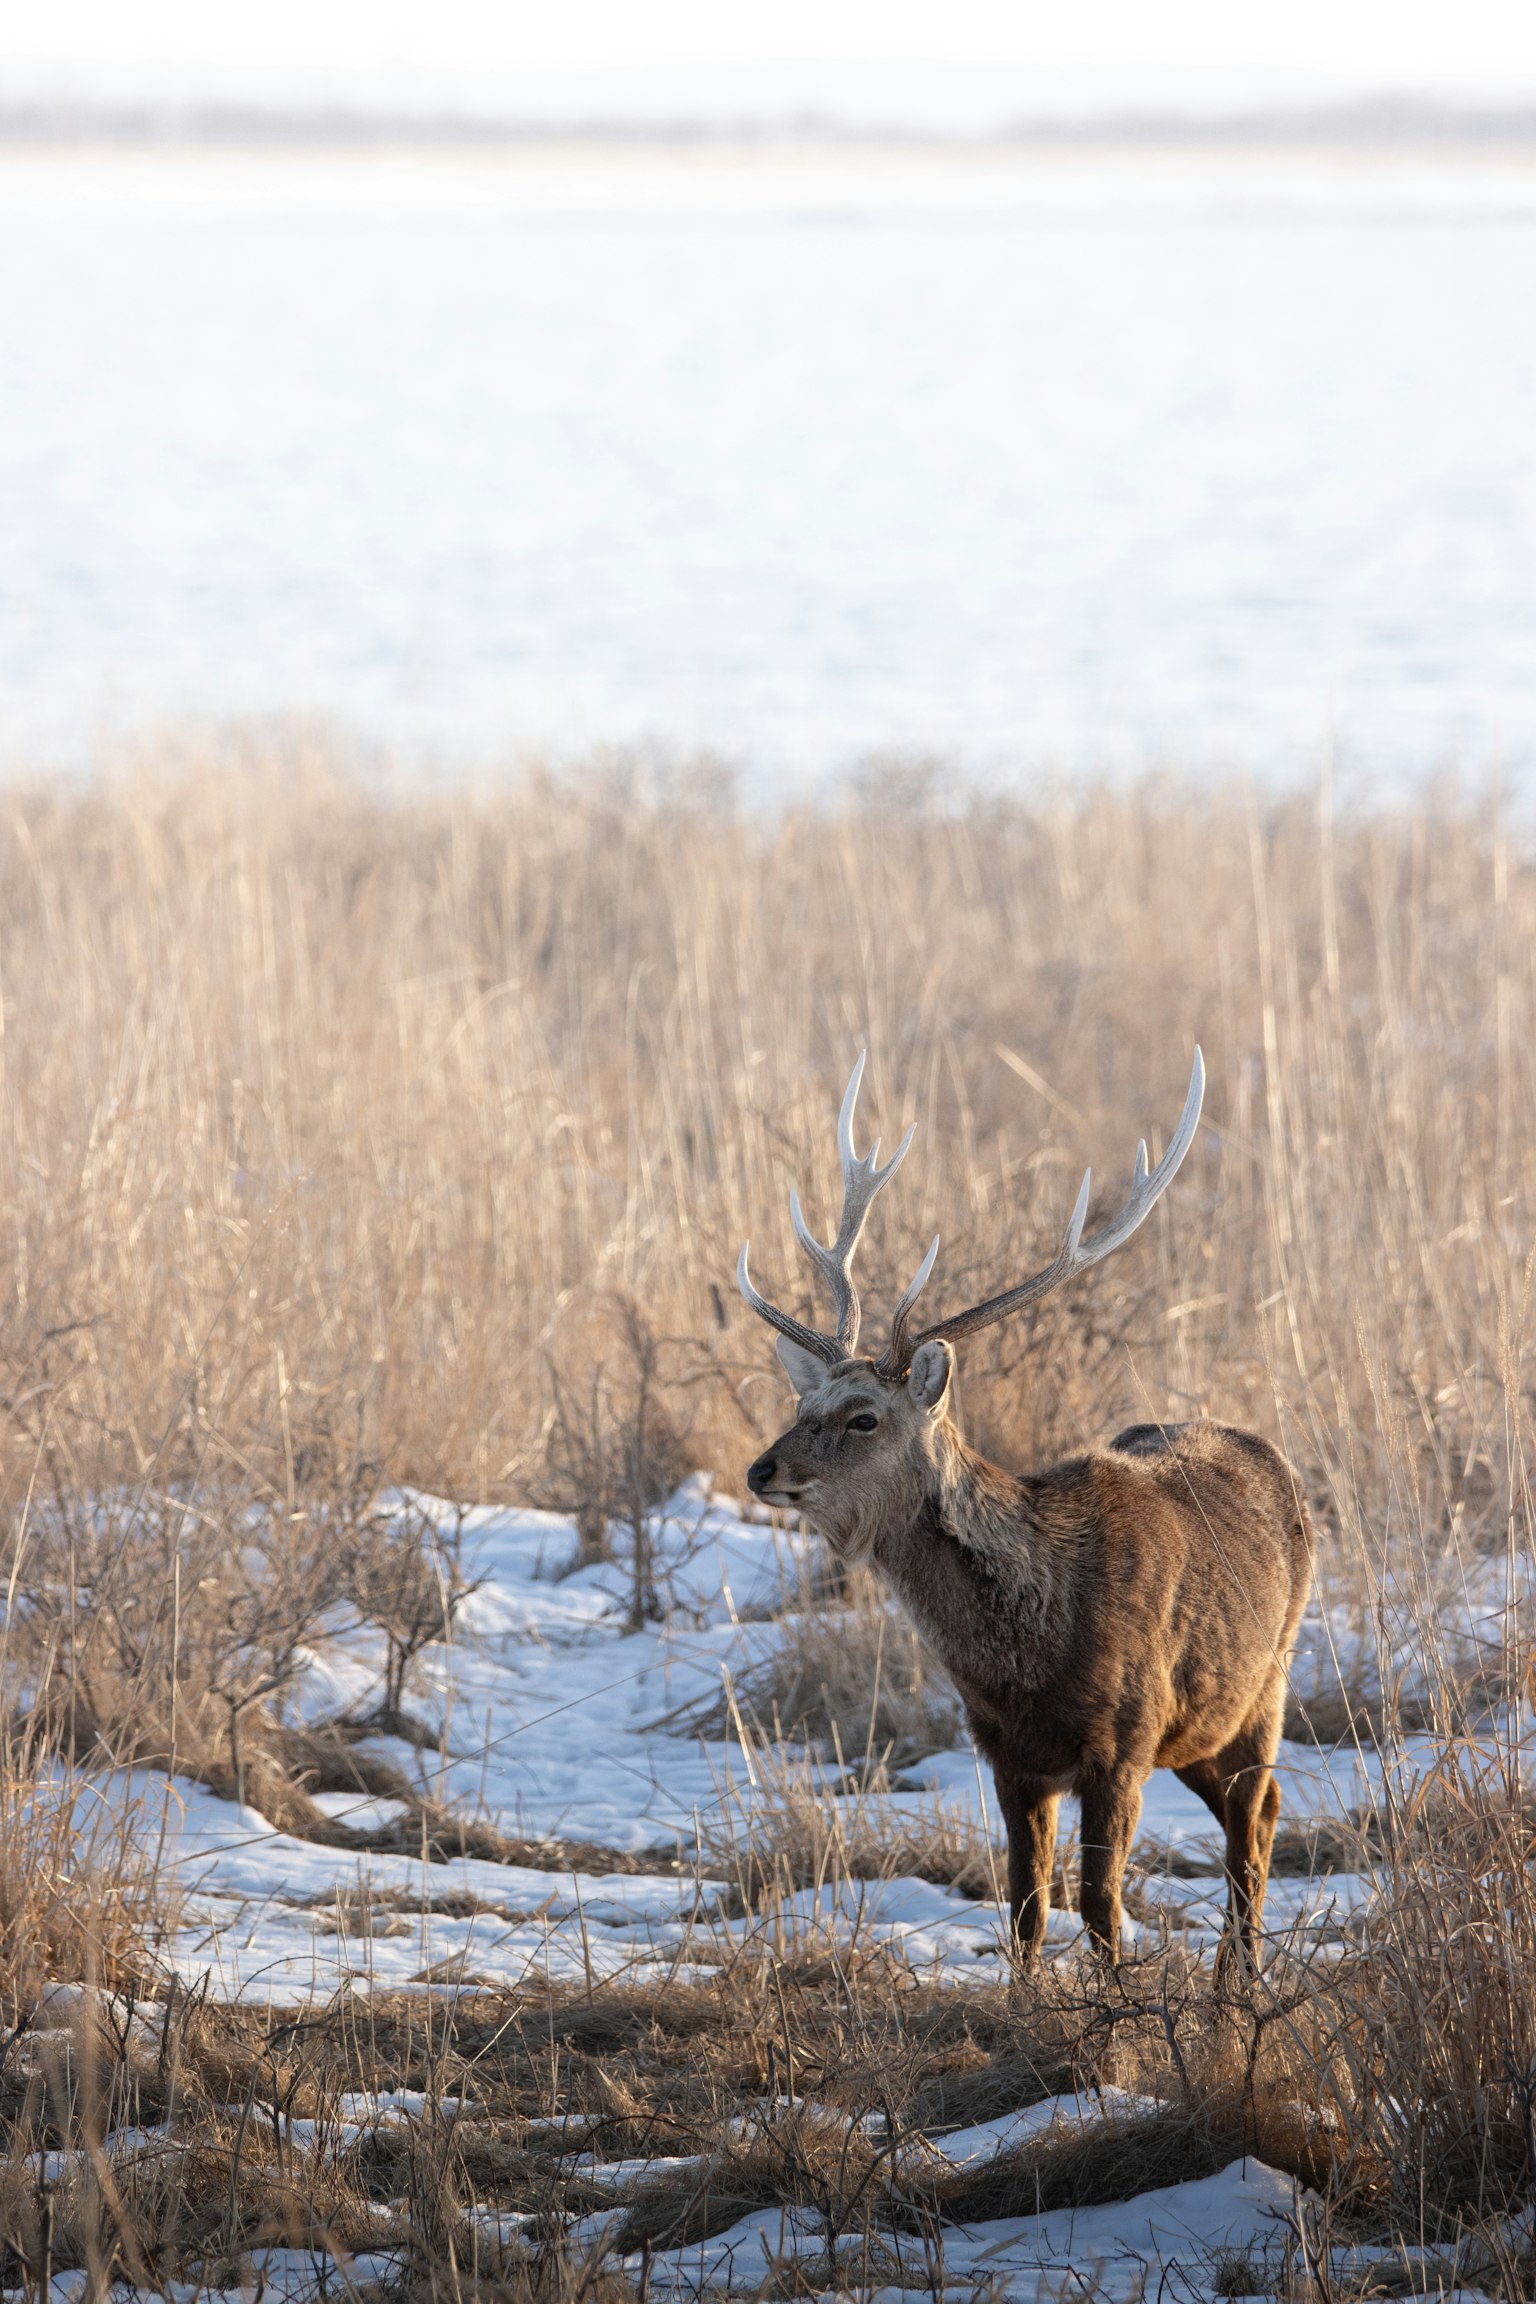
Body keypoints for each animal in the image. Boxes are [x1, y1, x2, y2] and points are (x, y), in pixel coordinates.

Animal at [739, 1050, 1313, 1970]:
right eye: (802, 1404)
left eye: (863, 1418)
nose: (763, 1469)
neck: (1025, 1658)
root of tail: (1272, 1455)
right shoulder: (1005, 1750)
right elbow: (1025, 1910)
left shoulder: (1122, 1738)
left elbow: (1102, 1905)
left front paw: (1115, 2011)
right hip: (1202, 1724)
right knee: (1248, 1812)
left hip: (1267, 1681)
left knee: (1257, 1816)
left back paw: (1241, 1977)